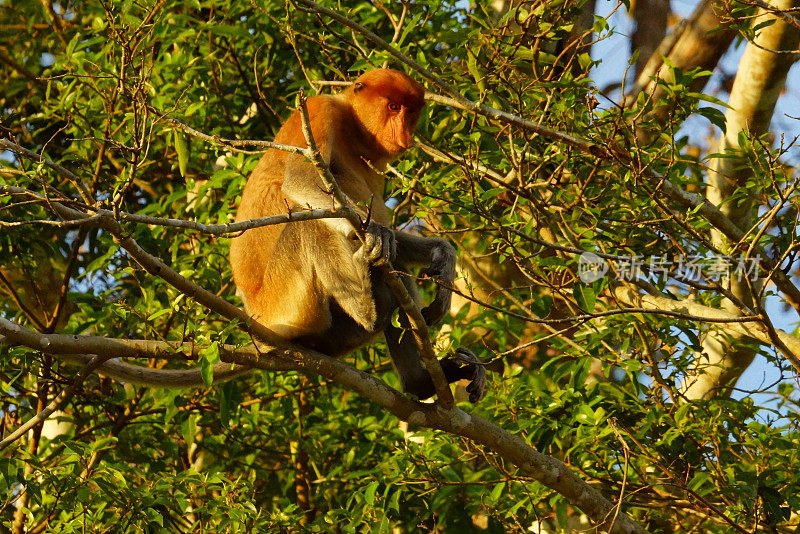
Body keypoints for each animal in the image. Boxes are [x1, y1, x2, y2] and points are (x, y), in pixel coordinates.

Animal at [228, 69, 484, 402]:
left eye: (410, 111)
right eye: (393, 107)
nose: (405, 135)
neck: (352, 125)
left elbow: (394, 238)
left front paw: (443, 258)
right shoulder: (318, 110)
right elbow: (300, 180)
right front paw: (373, 232)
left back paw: (421, 383)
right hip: (285, 306)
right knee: (308, 224)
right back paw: (367, 308)